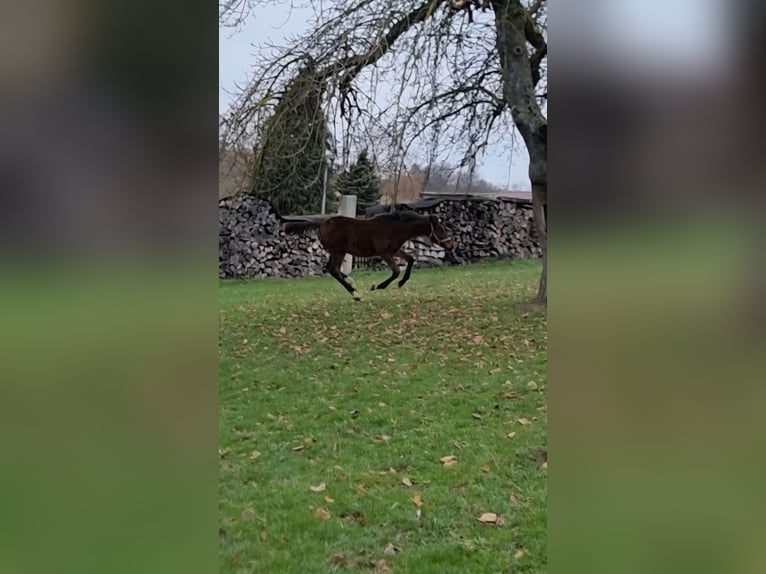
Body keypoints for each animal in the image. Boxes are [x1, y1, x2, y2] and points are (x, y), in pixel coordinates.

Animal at [282, 211, 456, 300]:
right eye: (441, 229)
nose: (451, 245)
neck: (396, 227)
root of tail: (322, 223)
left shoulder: (394, 251)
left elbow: (411, 260)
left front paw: (401, 283)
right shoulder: (385, 253)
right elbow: (395, 271)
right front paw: (377, 286)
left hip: (336, 251)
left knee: (332, 269)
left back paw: (352, 283)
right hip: (339, 251)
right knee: (333, 270)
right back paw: (355, 293)